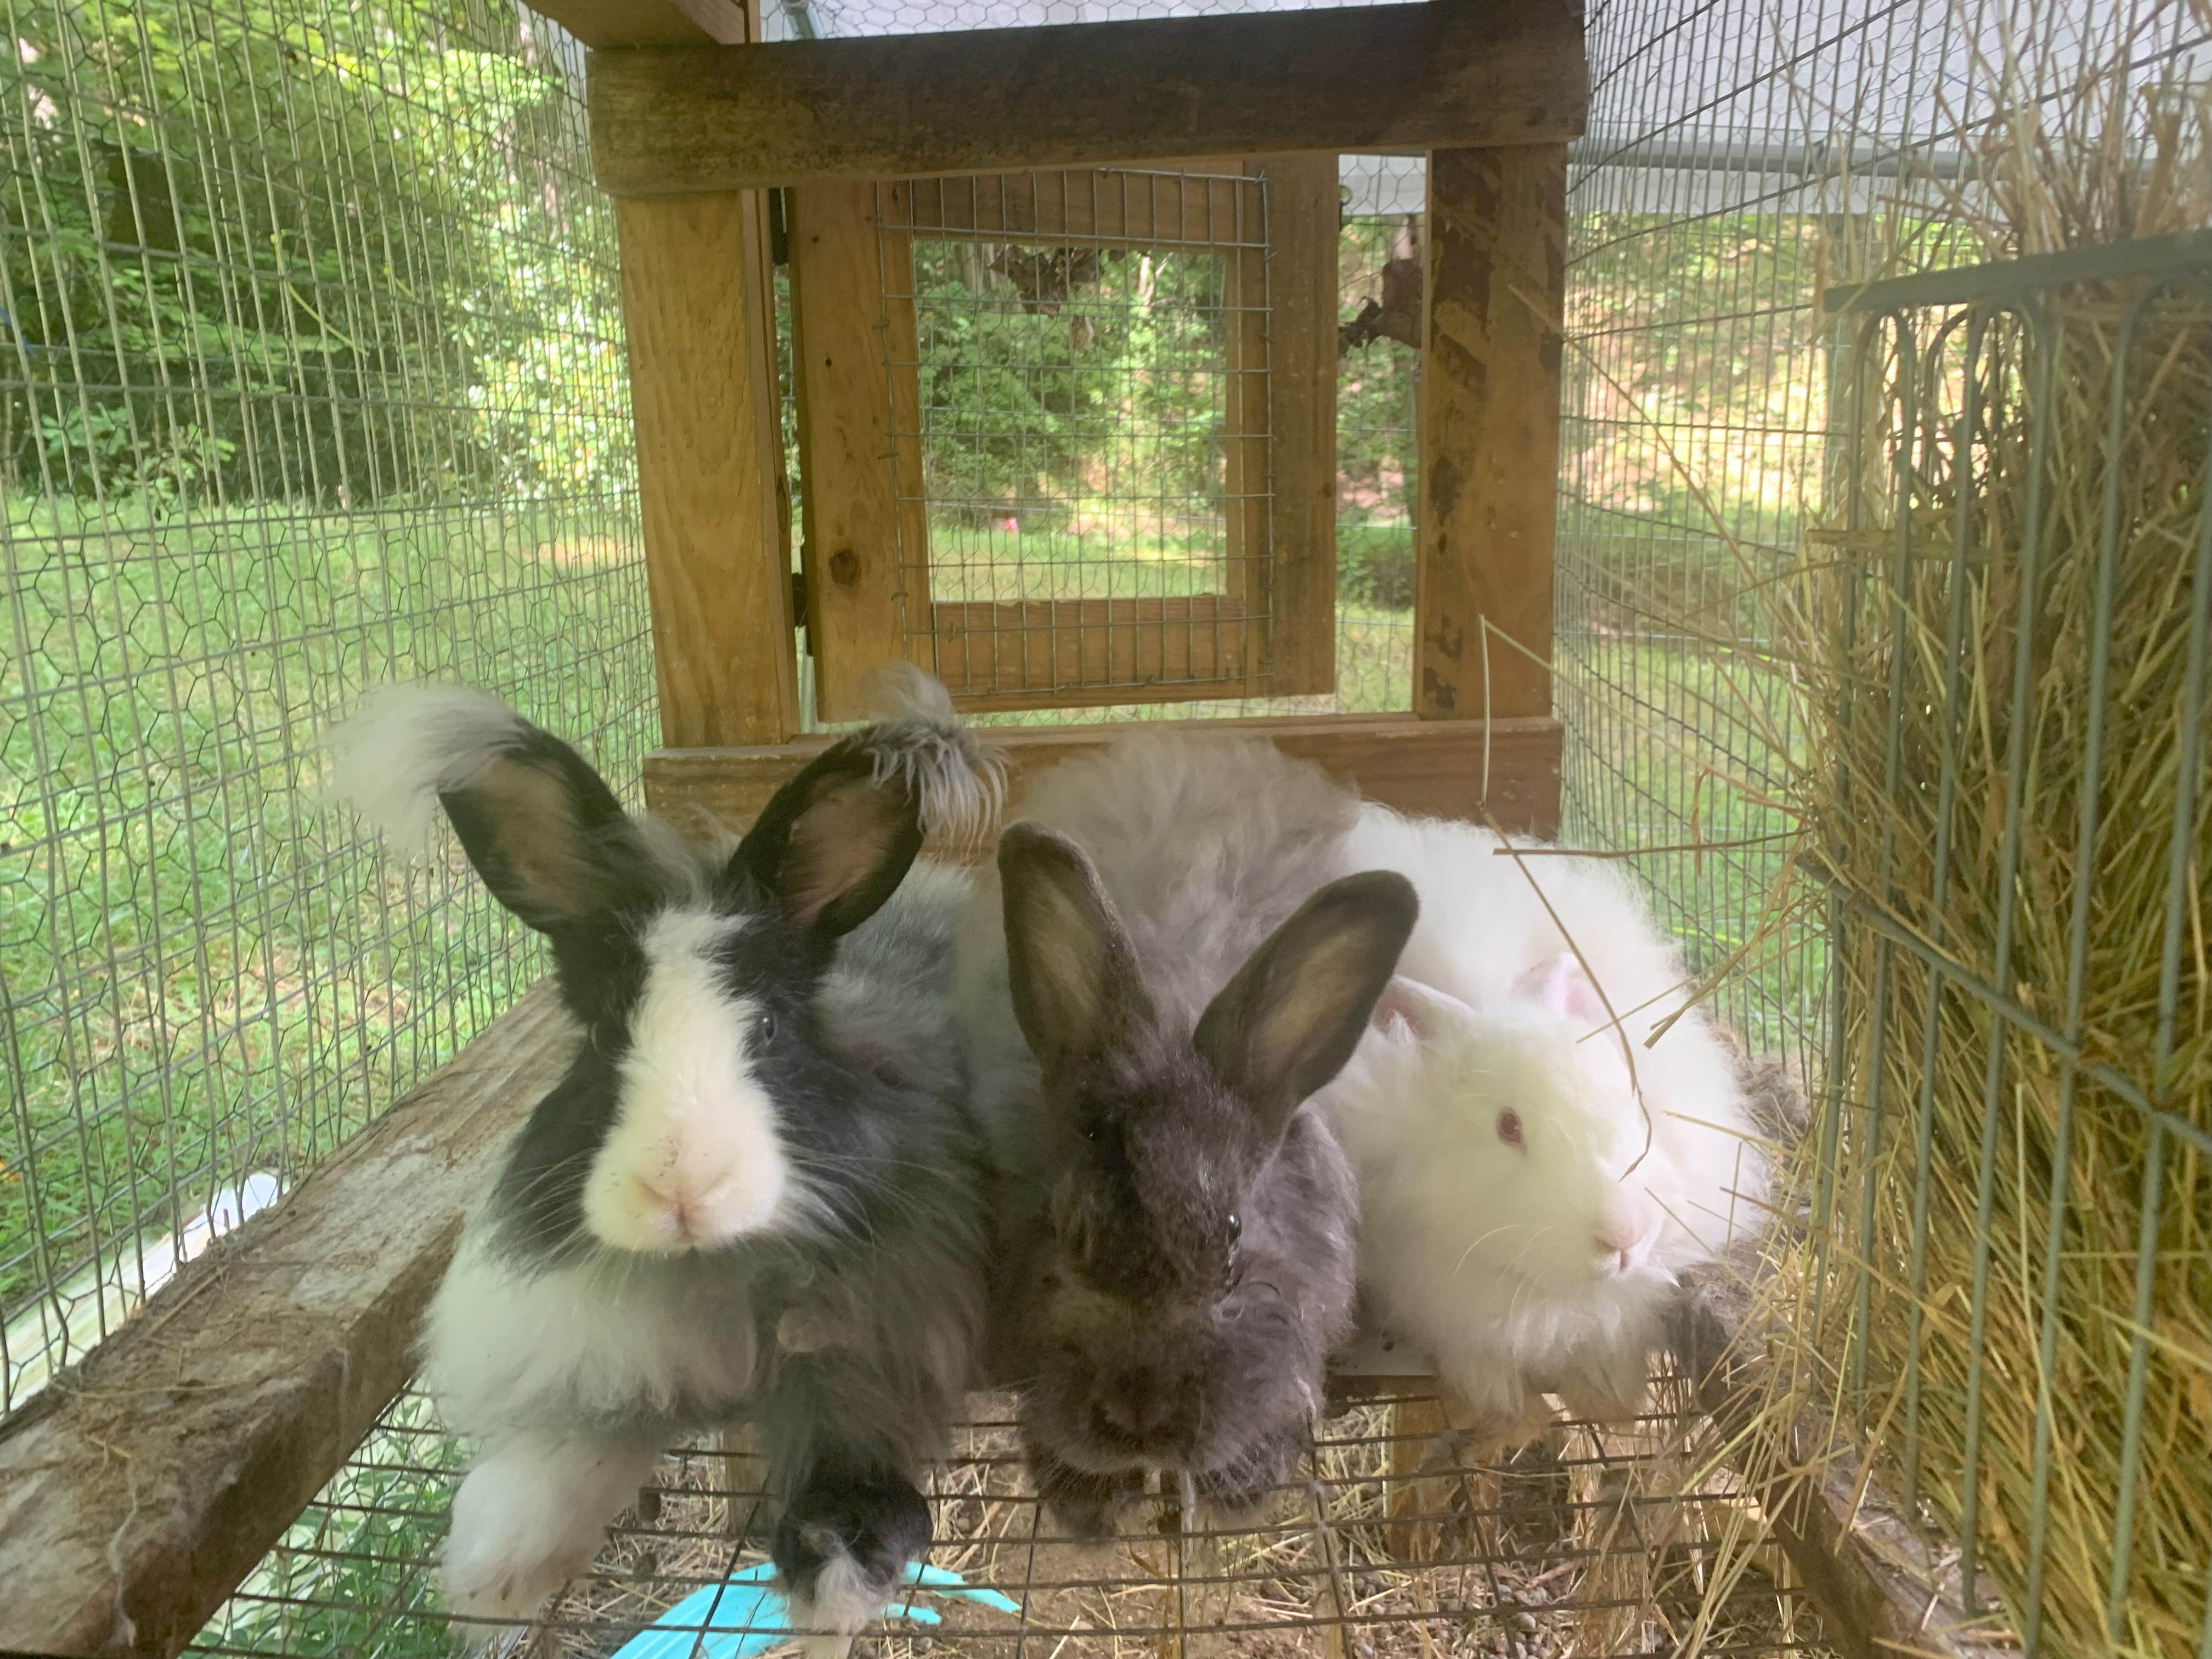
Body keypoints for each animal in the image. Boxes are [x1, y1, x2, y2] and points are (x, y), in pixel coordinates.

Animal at [322, 668, 1002, 1654]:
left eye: (770, 1028)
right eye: (605, 1035)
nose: (680, 1186)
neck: (713, 1272)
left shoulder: (870, 1357)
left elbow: (856, 1466)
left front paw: (835, 1581)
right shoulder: (604, 1359)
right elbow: (567, 1453)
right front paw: (490, 1580)